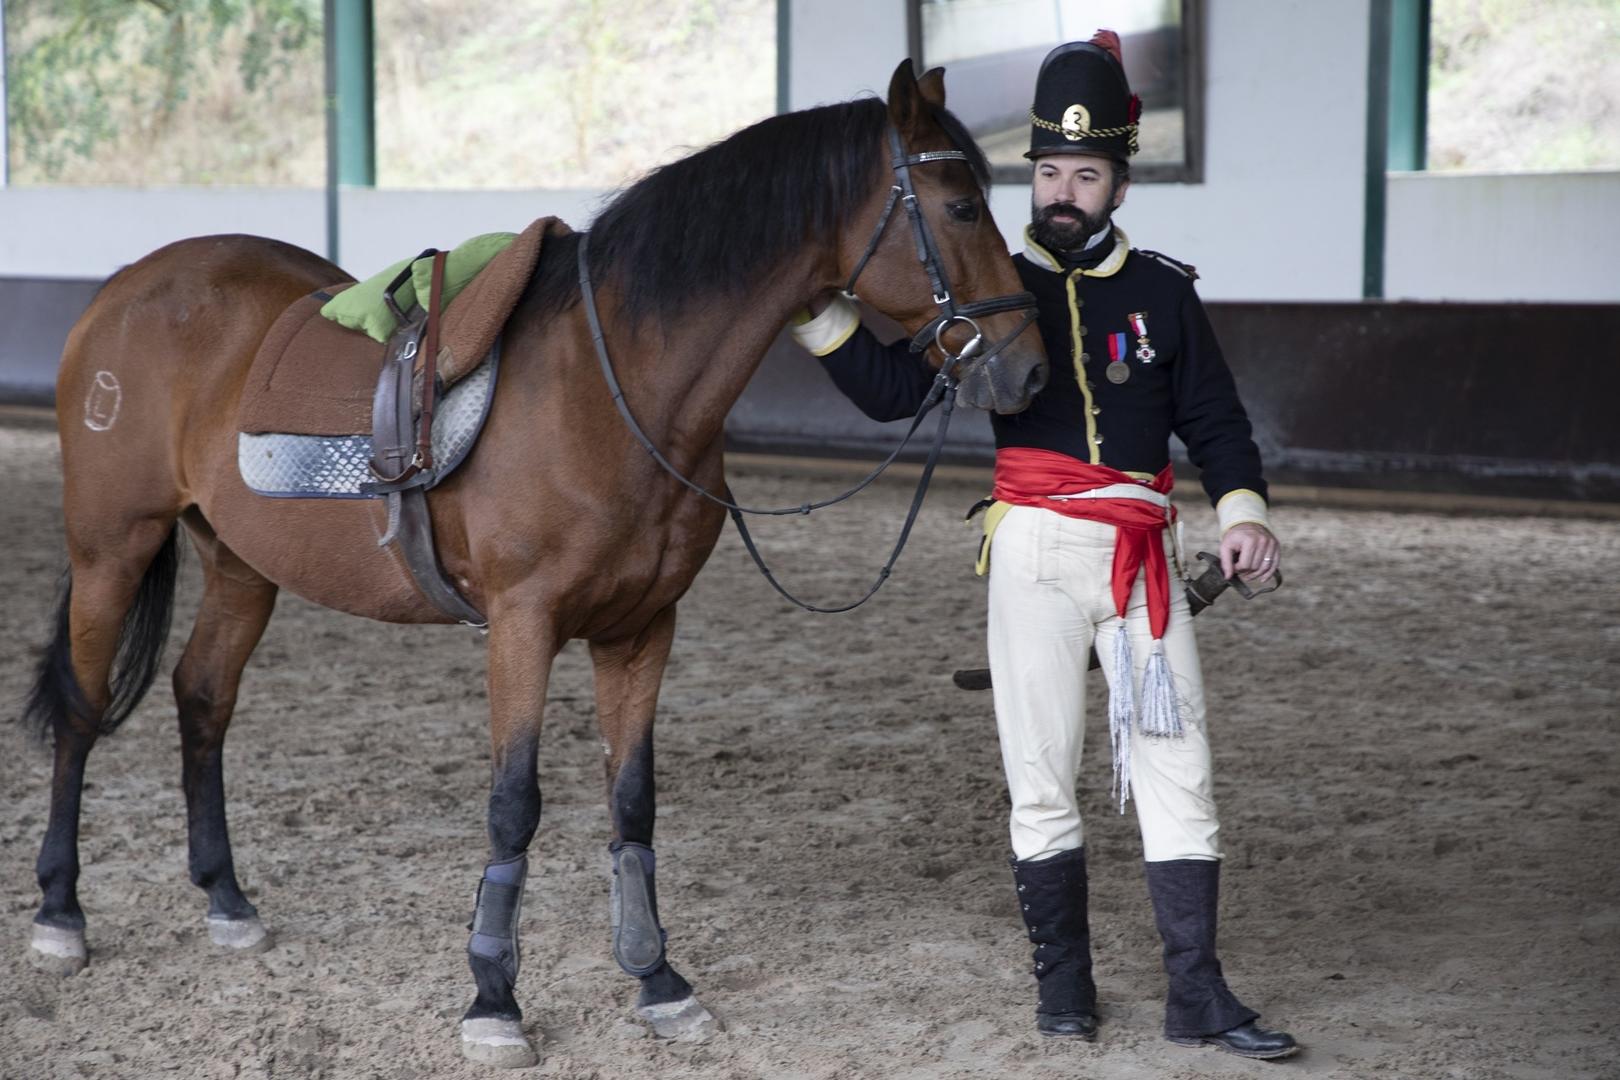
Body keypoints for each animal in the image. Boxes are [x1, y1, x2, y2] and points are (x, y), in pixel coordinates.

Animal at [22, 63, 1049, 1068]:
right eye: (962, 206)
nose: (1030, 370)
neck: (611, 384)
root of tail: (123, 288)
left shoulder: (641, 628)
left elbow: (632, 801)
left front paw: (657, 979)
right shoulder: (522, 624)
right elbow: (514, 803)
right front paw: (493, 998)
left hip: (239, 564)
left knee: (202, 696)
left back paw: (226, 900)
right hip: (111, 547)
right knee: (82, 707)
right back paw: (61, 913)